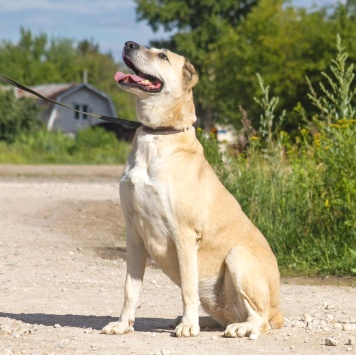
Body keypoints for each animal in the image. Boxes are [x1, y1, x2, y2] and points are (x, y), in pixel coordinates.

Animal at [101, 41, 284, 340]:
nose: (129, 44)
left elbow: (188, 287)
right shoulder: (134, 232)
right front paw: (122, 324)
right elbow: (130, 288)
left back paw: (238, 327)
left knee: (261, 318)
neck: (158, 134)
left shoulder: (184, 234)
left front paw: (188, 325)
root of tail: (279, 310)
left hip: (238, 257)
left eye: (162, 55)